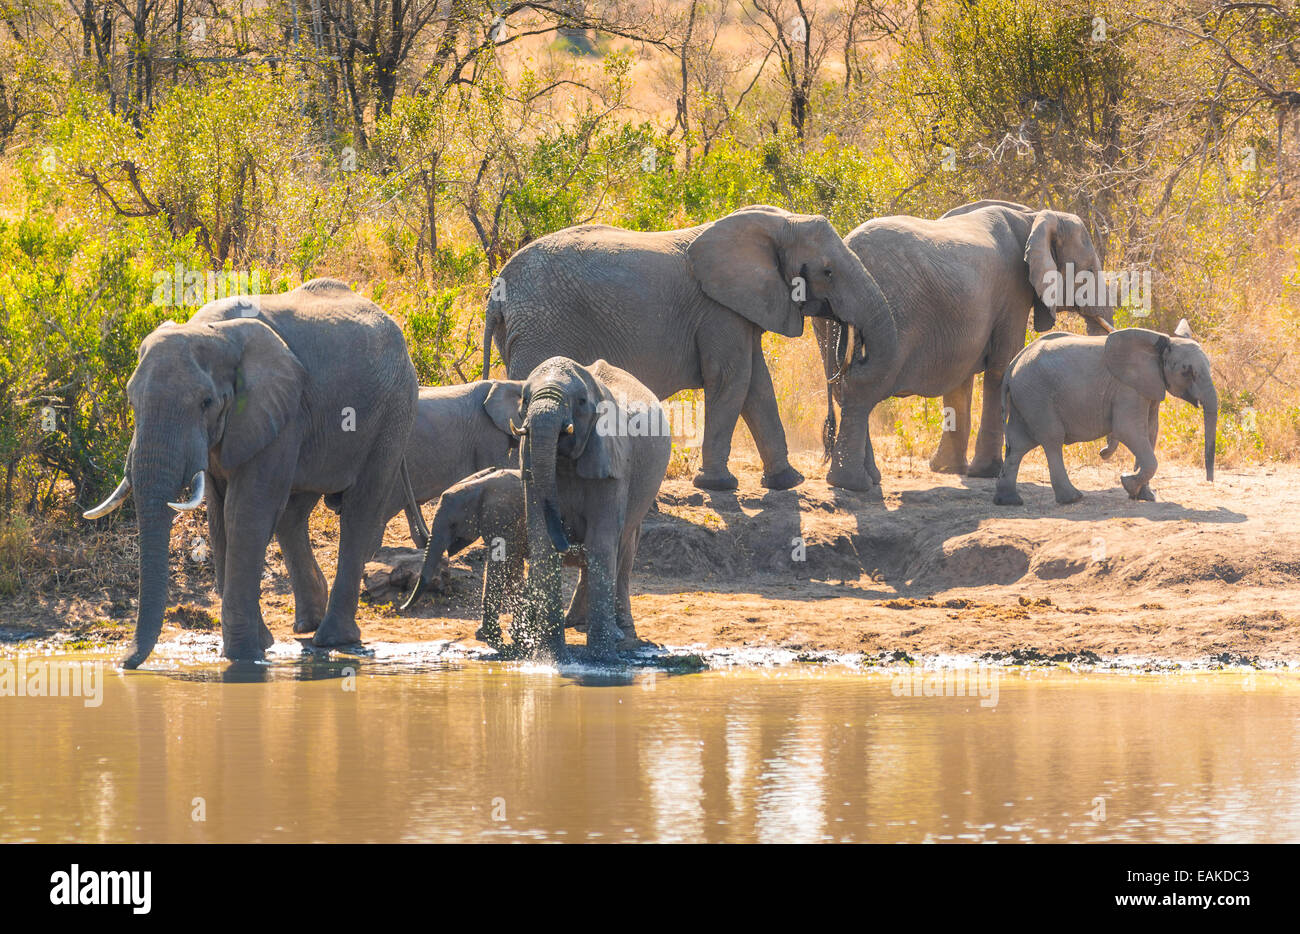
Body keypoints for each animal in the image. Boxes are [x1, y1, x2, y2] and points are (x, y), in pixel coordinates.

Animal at [82, 275, 416, 666]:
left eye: (205, 403)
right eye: (132, 401)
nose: (124, 664)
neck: (211, 331)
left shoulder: (278, 409)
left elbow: (245, 511)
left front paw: (244, 656)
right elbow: (219, 515)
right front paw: (261, 644)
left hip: (394, 410)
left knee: (361, 509)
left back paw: (333, 639)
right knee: (292, 515)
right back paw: (307, 625)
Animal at [483, 205, 899, 494]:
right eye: (828, 272)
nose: (851, 352)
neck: (776, 222)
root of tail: (496, 292)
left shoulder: (739, 309)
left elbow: (757, 386)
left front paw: (787, 481)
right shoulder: (717, 309)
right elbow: (732, 379)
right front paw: (719, 485)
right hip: (540, 326)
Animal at [488, 356, 670, 658]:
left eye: (582, 402)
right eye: (525, 399)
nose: (568, 543)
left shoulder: (613, 463)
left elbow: (601, 542)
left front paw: (602, 659)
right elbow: (542, 541)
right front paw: (551, 658)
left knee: (622, 548)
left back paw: (621, 633)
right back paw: (576, 623)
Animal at [811, 201, 1118, 494]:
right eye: (1089, 271)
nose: (1103, 452)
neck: (1034, 216)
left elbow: (959, 378)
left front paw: (948, 469)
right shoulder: (1013, 292)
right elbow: (1001, 367)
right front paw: (987, 472)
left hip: (828, 320)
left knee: (845, 389)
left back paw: (867, 478)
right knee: (865, 385)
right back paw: (853, 483)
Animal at [993, 323, 1216, 512]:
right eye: (1187, 371)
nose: (1209, 481)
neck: (1159, 345)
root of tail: (1012, 366)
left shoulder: (1149, 386)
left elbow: (1151, 432)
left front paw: (1144, 496)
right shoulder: (1127, 388)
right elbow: (1128, 430)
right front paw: (1128, 483)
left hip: (1025, 397)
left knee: (1018, 445)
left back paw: (1008, 501)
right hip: (1037, 396)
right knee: (1052, 439)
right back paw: (1072, 498)